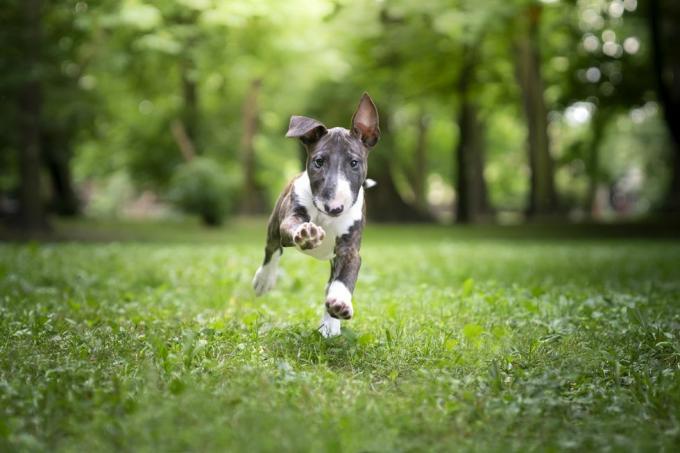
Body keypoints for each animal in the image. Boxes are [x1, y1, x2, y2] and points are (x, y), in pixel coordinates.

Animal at [252, 93, 380, 338]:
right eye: (319, 162)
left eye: (354, 163)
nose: (334, 208)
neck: (326, 218)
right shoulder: (290, 218)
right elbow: (292, 228)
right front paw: (308, 234)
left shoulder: (350, 249)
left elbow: (345, 277)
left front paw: (340, 304)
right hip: (274, 224)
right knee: (272, 249)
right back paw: (264, 279)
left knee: (329, 283)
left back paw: (330, 324)